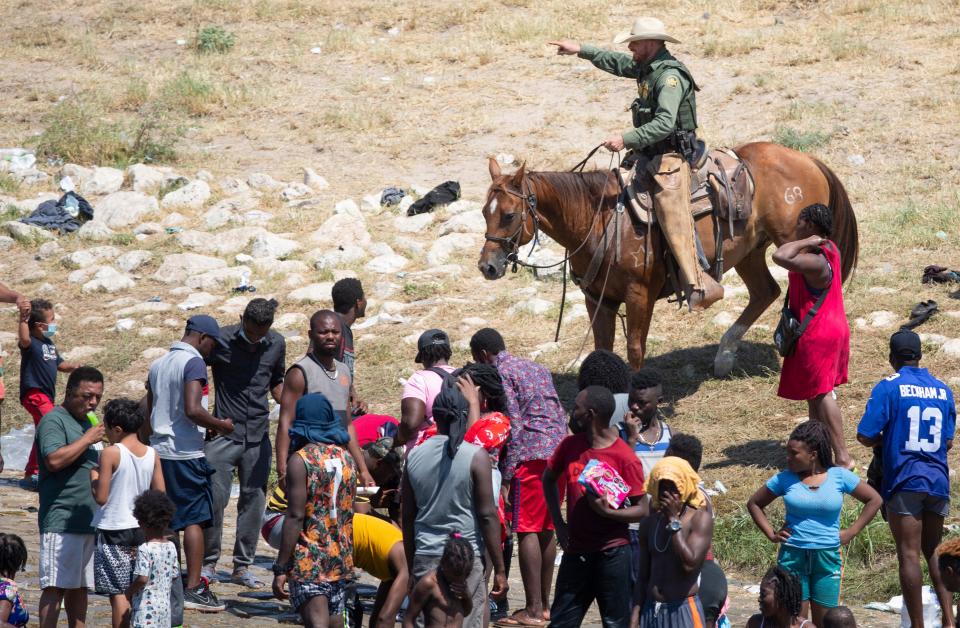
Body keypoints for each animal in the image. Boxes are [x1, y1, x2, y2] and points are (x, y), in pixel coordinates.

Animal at [476, 142, 860, 376]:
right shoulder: (597, 298)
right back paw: (724, 357)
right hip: (750, 251)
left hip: (795, 245)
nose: (487, 266)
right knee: (765, 292)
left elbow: (634, 348)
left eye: (508, 215)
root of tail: (807, 159)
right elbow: (603, 348)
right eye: (484, 212)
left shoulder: (639, 294)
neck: (601, 221)